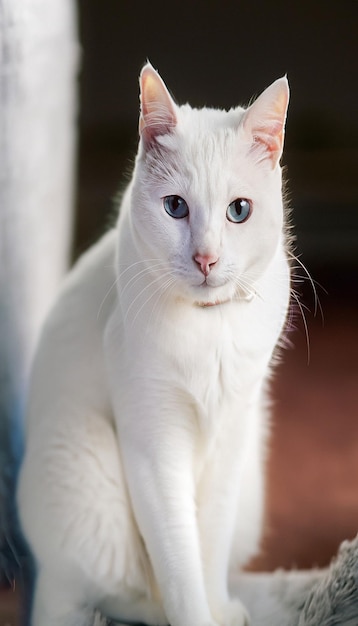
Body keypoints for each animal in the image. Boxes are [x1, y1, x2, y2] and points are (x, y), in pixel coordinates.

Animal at [17, 64, 290, 624]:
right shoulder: (154, 444)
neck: (210, 330)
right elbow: (179, 563)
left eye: (239, 211)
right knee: (108, 594)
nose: (206, 258)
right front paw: (199, 618)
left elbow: (208, 547)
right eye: (175, 207)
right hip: (85, 472)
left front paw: (218, 610)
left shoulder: (234, 433)